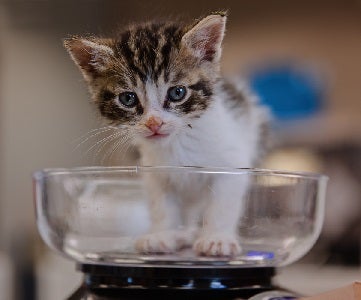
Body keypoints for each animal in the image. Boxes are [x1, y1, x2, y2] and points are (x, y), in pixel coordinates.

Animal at [64, 11, 268, 255]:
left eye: (177, 92)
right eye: (127, 98)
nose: (154, 123)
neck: (178, 144)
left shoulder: (231, 165)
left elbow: (222, 205)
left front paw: (216, 239)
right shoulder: (156, 174)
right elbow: (162, 207)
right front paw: (162, 235)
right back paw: (184, 234)